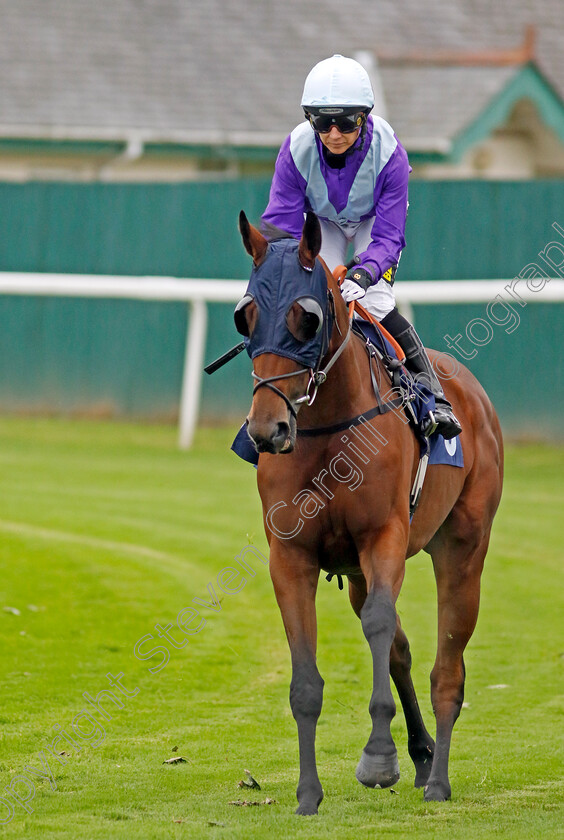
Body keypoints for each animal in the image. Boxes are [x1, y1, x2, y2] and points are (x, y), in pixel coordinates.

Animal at [234, 210, 502, 812]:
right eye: (246, 316)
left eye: (306, 319)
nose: (268, 430)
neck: (326, 430)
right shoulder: (291, 556)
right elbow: (307, 681)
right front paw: (308, 795)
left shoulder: (385, 537)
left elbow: (380, 625)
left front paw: (379, 758)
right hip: (356, 571)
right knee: (400, 649)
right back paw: (423, 754)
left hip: (463, 549)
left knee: (447, 667)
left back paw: (438, 779)